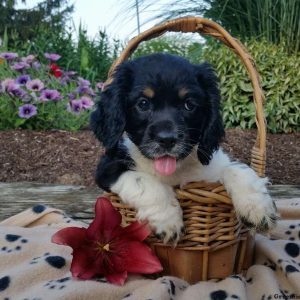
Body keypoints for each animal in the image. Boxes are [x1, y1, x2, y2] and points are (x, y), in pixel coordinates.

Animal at [90, 52, 278, 243]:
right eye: (143, 103)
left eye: (189, 104)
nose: (167, 139)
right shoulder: (107, 167)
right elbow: (144, 181)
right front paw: (167, 220)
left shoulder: (212, 169)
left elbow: (237, 169)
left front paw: (257, 207)